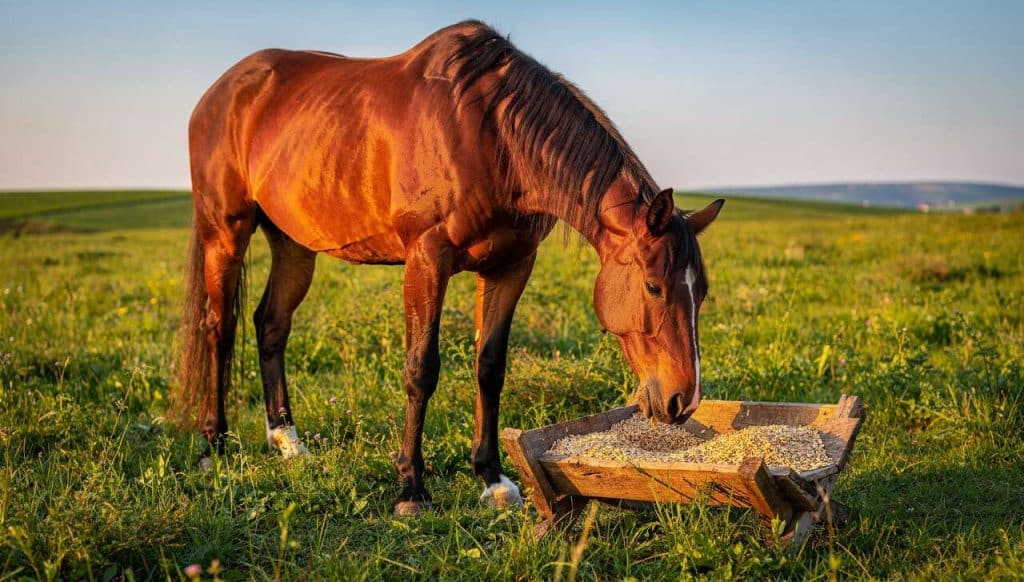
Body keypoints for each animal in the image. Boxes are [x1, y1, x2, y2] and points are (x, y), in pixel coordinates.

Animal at [174, 20, 724, 515]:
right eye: (653, 286)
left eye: (700, 293)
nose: (684, 401)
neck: (493, 137)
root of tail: (221, 92)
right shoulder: (426, 260)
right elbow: (421, 369)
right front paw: (411, 488)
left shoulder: (511, 266)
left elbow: (490, 366)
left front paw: (492, 477)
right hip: (225, 230)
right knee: (218, 327)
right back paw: (213, 445)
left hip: (293, 243)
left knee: (271, 324)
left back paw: (286, 439)